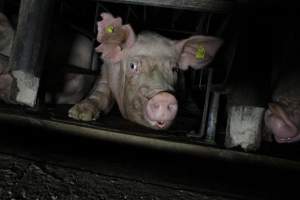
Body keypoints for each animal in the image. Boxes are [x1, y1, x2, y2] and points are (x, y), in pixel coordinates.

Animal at [68, 12, 223, 129]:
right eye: (132, 66)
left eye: (175, 68)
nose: (164, 97)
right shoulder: (105, 72)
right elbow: (100, 93)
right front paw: (79, 114)